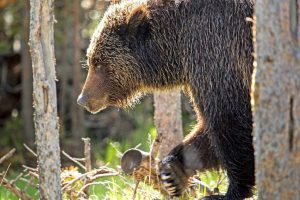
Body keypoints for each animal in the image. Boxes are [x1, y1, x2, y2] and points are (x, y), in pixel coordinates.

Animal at [78, 0, 255, 198]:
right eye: (90, 60)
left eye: (98, 63)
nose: (83, 99)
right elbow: (209, 129)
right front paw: (173, 172)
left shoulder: (217, 53)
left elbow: (229, 118)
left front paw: (230, 191)